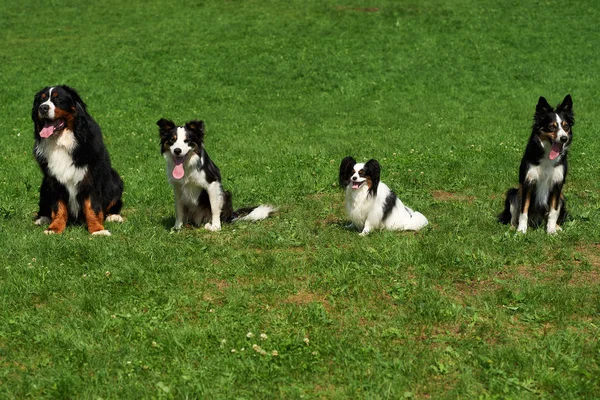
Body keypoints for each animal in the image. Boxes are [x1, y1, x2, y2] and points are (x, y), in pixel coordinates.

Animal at [31, 84, 124, 234]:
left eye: (58, 99)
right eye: (41, 100)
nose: (43, 108)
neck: (61, 142)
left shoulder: (90, 176)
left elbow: (92, 206)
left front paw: (97, 230)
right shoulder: (53, 180)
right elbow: (58, 208)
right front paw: (54, 228)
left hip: (115, 180)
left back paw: (114, 216)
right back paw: (43, 218)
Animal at [500, 95, 576, 233]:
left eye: (566, 126)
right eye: (552, 126)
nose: (564, 138)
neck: (547, 155)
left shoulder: (557, 184)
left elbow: (553, 211)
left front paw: (551, 231)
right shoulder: (528, 182)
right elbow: (523, 210)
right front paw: (521, 231)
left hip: (562, 197)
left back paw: (557, 227)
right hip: (513, 193)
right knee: (514, 215)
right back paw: (513, 227)